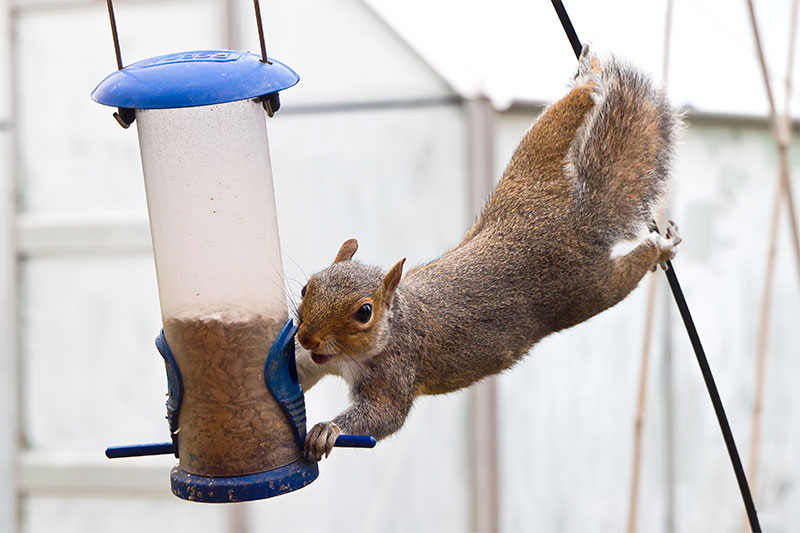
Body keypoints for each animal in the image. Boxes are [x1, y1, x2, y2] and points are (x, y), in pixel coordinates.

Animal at [294, 45, 680, 460]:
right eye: (306, 288)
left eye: (364, 313)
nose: (307, 338)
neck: (392, 325)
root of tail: (581, 215)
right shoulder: (312, 360)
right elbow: (296, 370)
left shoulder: (396, 370)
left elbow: (383, 415)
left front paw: (327, 430)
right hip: (531, 164)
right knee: (558, 121)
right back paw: (587, 79)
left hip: (588, 288)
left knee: (626, 273)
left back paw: (658, 248)